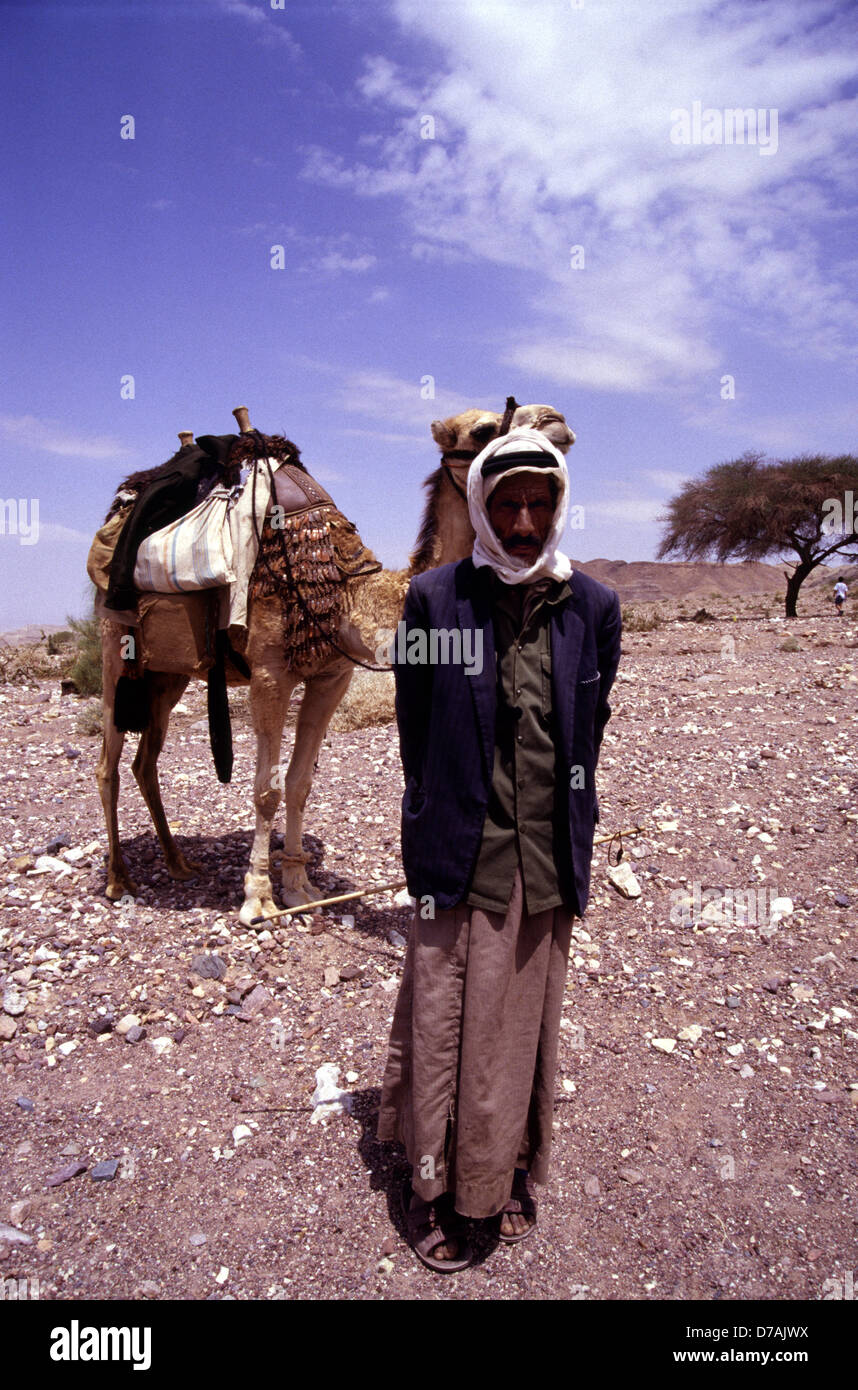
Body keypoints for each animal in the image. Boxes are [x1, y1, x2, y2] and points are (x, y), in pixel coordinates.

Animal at [96, 408, 380, 925]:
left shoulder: (333, 675)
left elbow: (300, 783)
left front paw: (299, 887)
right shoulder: (270, 674)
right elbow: (267, 789)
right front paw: (258, 899)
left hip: (167, 674)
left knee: (145, 761)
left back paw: (178, 863)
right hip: (114, 651)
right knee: (108, 764)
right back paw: (118, 879)